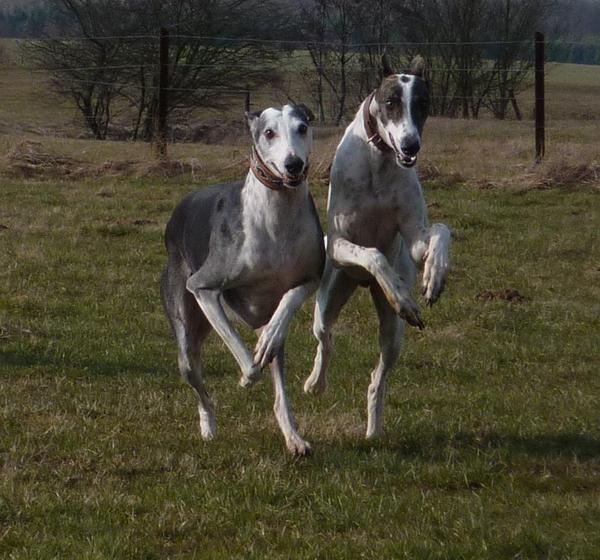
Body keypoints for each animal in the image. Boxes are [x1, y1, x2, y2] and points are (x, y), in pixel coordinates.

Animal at [304, 58, 450, 438]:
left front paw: (433, 276)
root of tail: (363, 285)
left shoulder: (415, 238)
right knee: (325, 339)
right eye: (390, 102)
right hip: (329, 298)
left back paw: (373, 429)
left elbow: (439, 232)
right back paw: (315, 383)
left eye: (422, 104)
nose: (411, 146)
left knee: (377, 378)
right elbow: (371, 253)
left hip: (393, 335)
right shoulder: (339, 243)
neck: (381, 161)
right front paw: (400, 293)